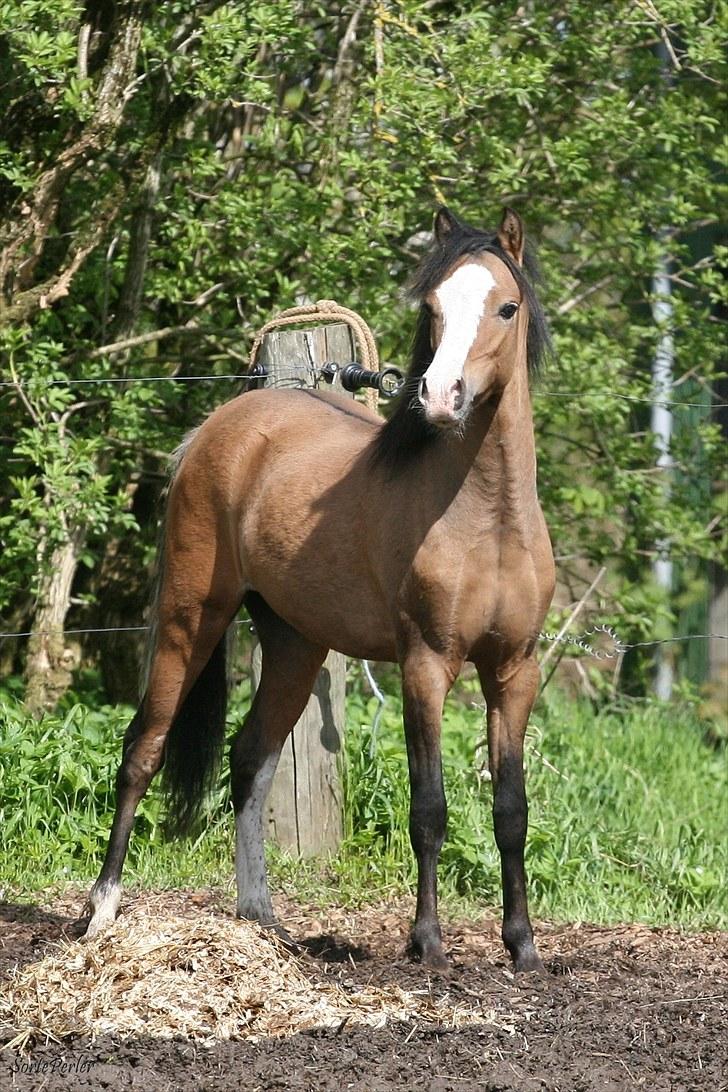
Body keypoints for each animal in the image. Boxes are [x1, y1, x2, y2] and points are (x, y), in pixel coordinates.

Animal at [84, 205, 552, 974]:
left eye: (505, 307)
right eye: (432, 307)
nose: (439, 397)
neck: (487, 522)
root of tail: (215, 431)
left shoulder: (515, 672)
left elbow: (511, 810)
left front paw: (523, 946)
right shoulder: (426, 666)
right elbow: (430, 807)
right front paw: (428, 942)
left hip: (295, 645)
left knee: (250, 759)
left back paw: (259, 916)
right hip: (191, 619)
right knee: (142, 750)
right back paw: (99, 911)